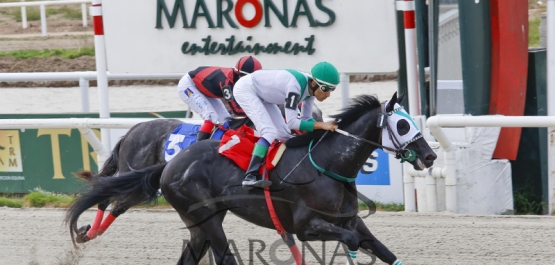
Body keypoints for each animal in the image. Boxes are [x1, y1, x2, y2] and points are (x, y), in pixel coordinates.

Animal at [66, 92, 438, 262]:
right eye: (402, 125)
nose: (430, 155)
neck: (327, 163)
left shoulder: (351, 221)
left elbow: (384, 252)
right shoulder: (305, 227)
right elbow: (348, 243)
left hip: (199, 220)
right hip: (201, 213)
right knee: (114, 202)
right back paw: (87, 233)